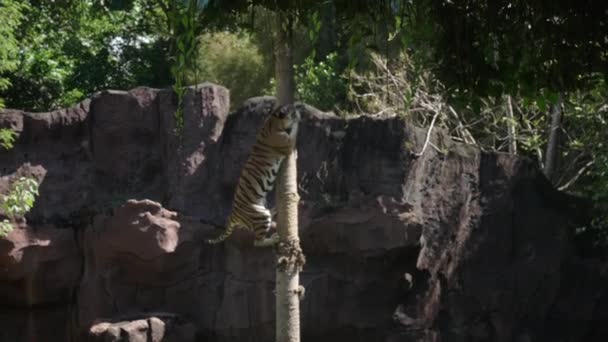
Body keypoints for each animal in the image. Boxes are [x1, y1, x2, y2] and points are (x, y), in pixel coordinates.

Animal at [205, 103, 300, 247]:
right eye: (292, 111)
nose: (298, 110)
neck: (272, 121)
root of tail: (233, 215)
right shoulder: (287, 143)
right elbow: (293, 136)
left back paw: (275, 211)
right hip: (260, 216)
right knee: (257, 242)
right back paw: (274, 238)